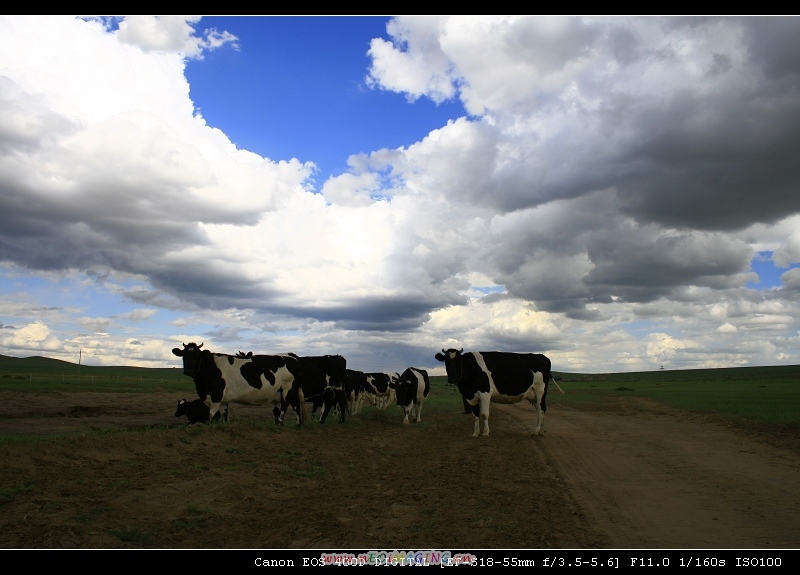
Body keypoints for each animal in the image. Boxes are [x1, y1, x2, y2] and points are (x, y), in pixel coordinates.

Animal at [170, 344, 302, 426]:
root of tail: (291, 356)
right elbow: (223, 415)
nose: (189, 370)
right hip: (281, 392)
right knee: (294, 405)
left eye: (197, 356)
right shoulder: (223, 399)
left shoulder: (216, 395)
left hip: (287, 388)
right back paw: (296, 424)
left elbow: (212, 415)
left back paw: (280, 423)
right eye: (184, 356)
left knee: (285, 406)